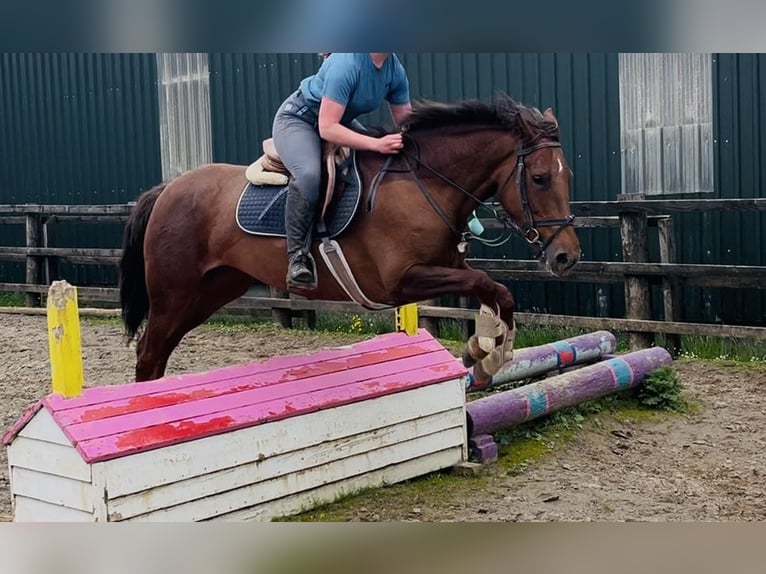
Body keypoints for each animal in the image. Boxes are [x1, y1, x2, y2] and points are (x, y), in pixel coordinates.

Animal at [118, 93, 581, 383]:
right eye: (539, 178)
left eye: (566, 176)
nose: (567, 257)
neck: (425, 183)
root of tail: (167, 189)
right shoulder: (400, 281)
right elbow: (488, 284)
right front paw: (488, 352)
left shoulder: (447, 266)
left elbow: (496, 291)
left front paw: (485, 352)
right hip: (174, 293)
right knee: (148, 353)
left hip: (211, 290)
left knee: (158, 352)